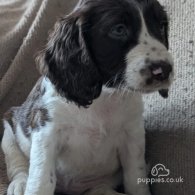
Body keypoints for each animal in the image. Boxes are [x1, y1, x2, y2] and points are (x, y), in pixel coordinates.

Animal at [0, 0, 173, 195]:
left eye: (161, 26)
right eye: (119, 29)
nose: (164, 70)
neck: (103, 96)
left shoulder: (133, 133)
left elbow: (135, 178)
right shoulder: (46, 129)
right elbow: (41, 180)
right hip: (10, 127)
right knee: (17, 161)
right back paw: (19, 183)